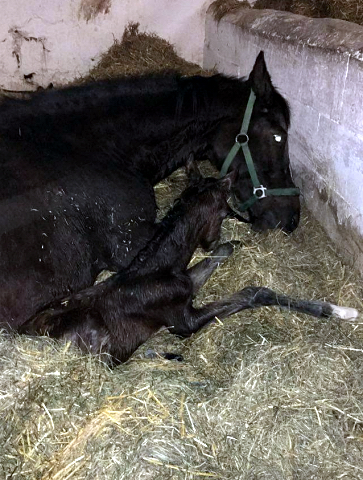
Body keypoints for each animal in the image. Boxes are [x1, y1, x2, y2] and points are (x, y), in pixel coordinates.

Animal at [21, 169, 360, 364]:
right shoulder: (185, 321)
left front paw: (235, 244)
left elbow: (220, 255)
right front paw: (338, 310)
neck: (157, 269)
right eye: (225, 210)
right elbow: (251, 294)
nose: (211, 239)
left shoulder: (187, 285)